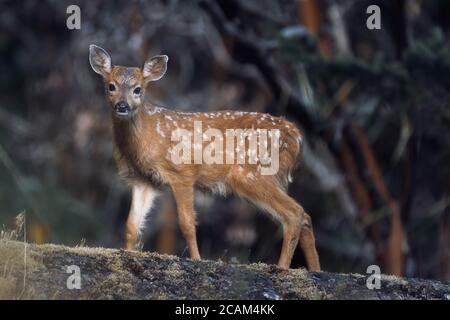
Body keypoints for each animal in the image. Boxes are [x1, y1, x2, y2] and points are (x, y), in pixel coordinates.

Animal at [88, 44, 320, 270]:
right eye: (111, 86)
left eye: (138, 89)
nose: (122, 106)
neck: (146, 139)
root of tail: (297, 136)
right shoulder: (143, 180)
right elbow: (131, 226)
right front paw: (126, 254)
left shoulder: (182, 172)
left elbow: (187, 223)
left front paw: (197, 259)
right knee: (305, 216)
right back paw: (315, 270)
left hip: (252, 173)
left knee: (295, 213)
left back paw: (282, 268)